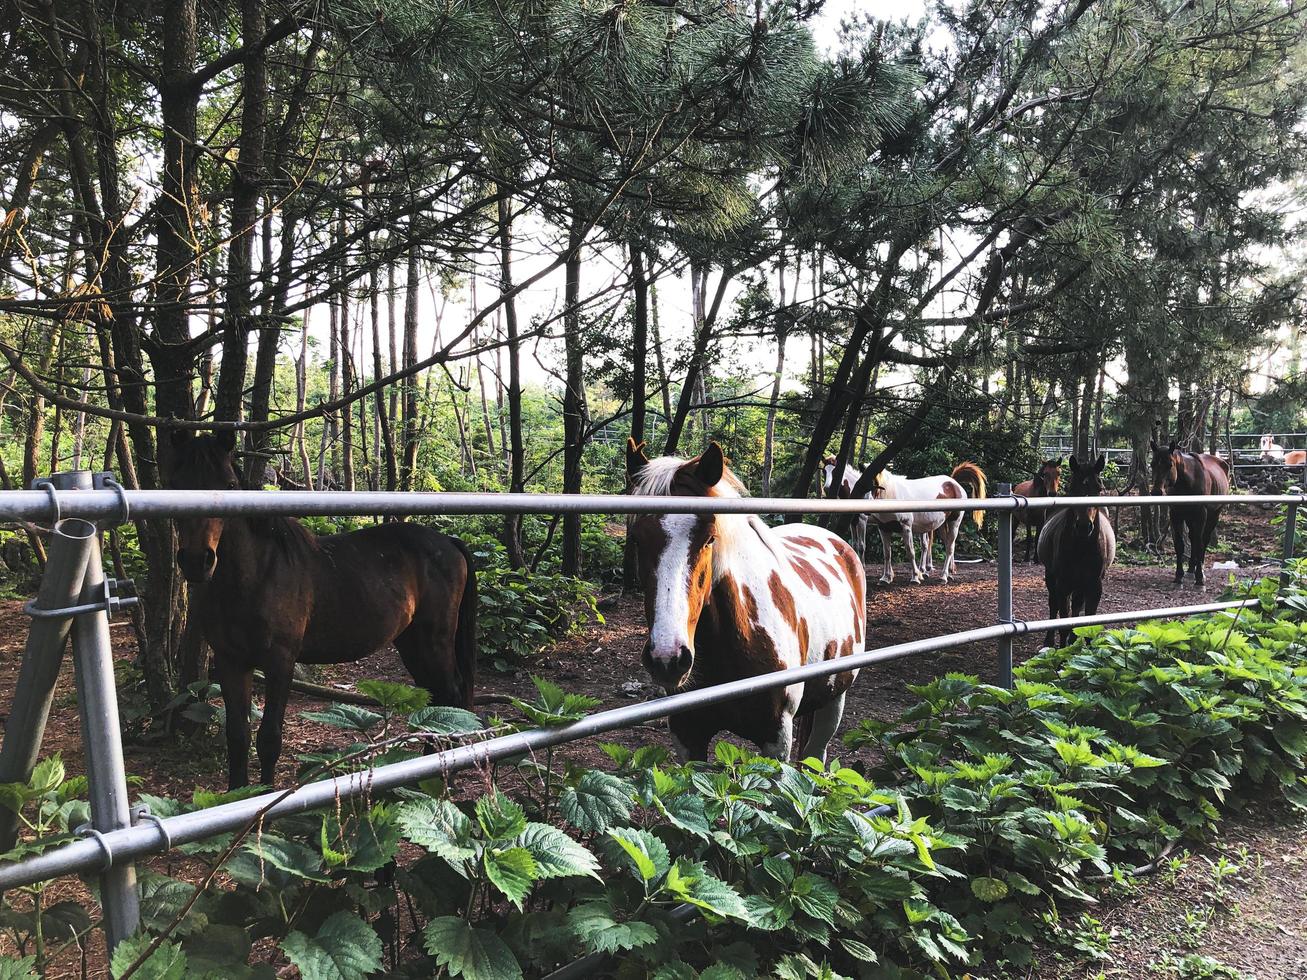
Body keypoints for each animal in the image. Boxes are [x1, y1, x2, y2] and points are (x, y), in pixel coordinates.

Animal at [169, 433, 480, 789]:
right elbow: (237, 736)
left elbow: (269, 739)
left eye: (231, 485)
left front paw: (267, 796)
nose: (197, 560)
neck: (256, 574)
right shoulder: (231, 661)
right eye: (175, 484)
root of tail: (449, 541)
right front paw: (238, 795)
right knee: (437, 695)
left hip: (435, 640)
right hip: (411, 642)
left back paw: (443, 775)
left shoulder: (281, 662)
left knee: (450, 692)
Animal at [624, 439, 862, 768]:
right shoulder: (687, 737)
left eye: (709, 539)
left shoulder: (777, 742)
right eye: (636, 539)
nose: (667, 658)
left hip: (834, 700)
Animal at [820, 459, 982, 588]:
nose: (826, 489)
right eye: (824, 472)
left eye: (874, 484)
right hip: (940, 525)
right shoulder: (881, 527)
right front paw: (886, 578)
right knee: (940, 545)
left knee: (948, 547)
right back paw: (946, 572)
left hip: (954, 522)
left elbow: (909, 552)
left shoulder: (903, 526)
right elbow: (886, 553)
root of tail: (954, 484)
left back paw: (941, 576)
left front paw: (915, 577)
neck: (891, 497)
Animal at [1029, 454, 1113, 653]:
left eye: (1099, 488)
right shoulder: (1063, 584)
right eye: (1072, 488)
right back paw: (1049, 641)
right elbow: (1064, 622)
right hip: (1052, 577)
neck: (1081, 546)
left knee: (1076, 606)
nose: (1083, 526)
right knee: (1054, 606)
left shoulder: (1094, 585)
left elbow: (1088, 622)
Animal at [1150, 439, 1228, 588]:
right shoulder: (1176, 515)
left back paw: (1200, 571)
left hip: (1213, 515)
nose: (1156, 491)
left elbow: (1199, 543)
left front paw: (1200, 579)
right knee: (1193, 538)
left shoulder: (1201, 515)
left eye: (1170, 464)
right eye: (1152, 464)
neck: (1186, 482)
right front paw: (1178, 576)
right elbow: (1180, 545)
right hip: (1190, 518)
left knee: (1203, 540)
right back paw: (1191, 570)